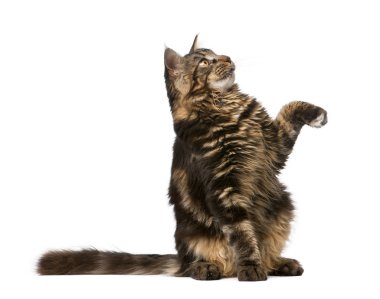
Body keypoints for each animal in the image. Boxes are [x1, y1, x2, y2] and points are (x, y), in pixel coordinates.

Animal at [37, 36, 326, 282]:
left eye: (218, 54)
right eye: (205, 62)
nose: (227, 57)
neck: (226, 105)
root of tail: (182, 258)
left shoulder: (273, 148)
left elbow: (290, 108)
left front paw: (317, 113)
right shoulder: (225, 186)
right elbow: (242, 233)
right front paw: (250, 267)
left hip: (283, 205)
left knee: (266, 250)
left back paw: (280, 263)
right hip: (192, 236)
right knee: (200, 265)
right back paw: (208, 268)